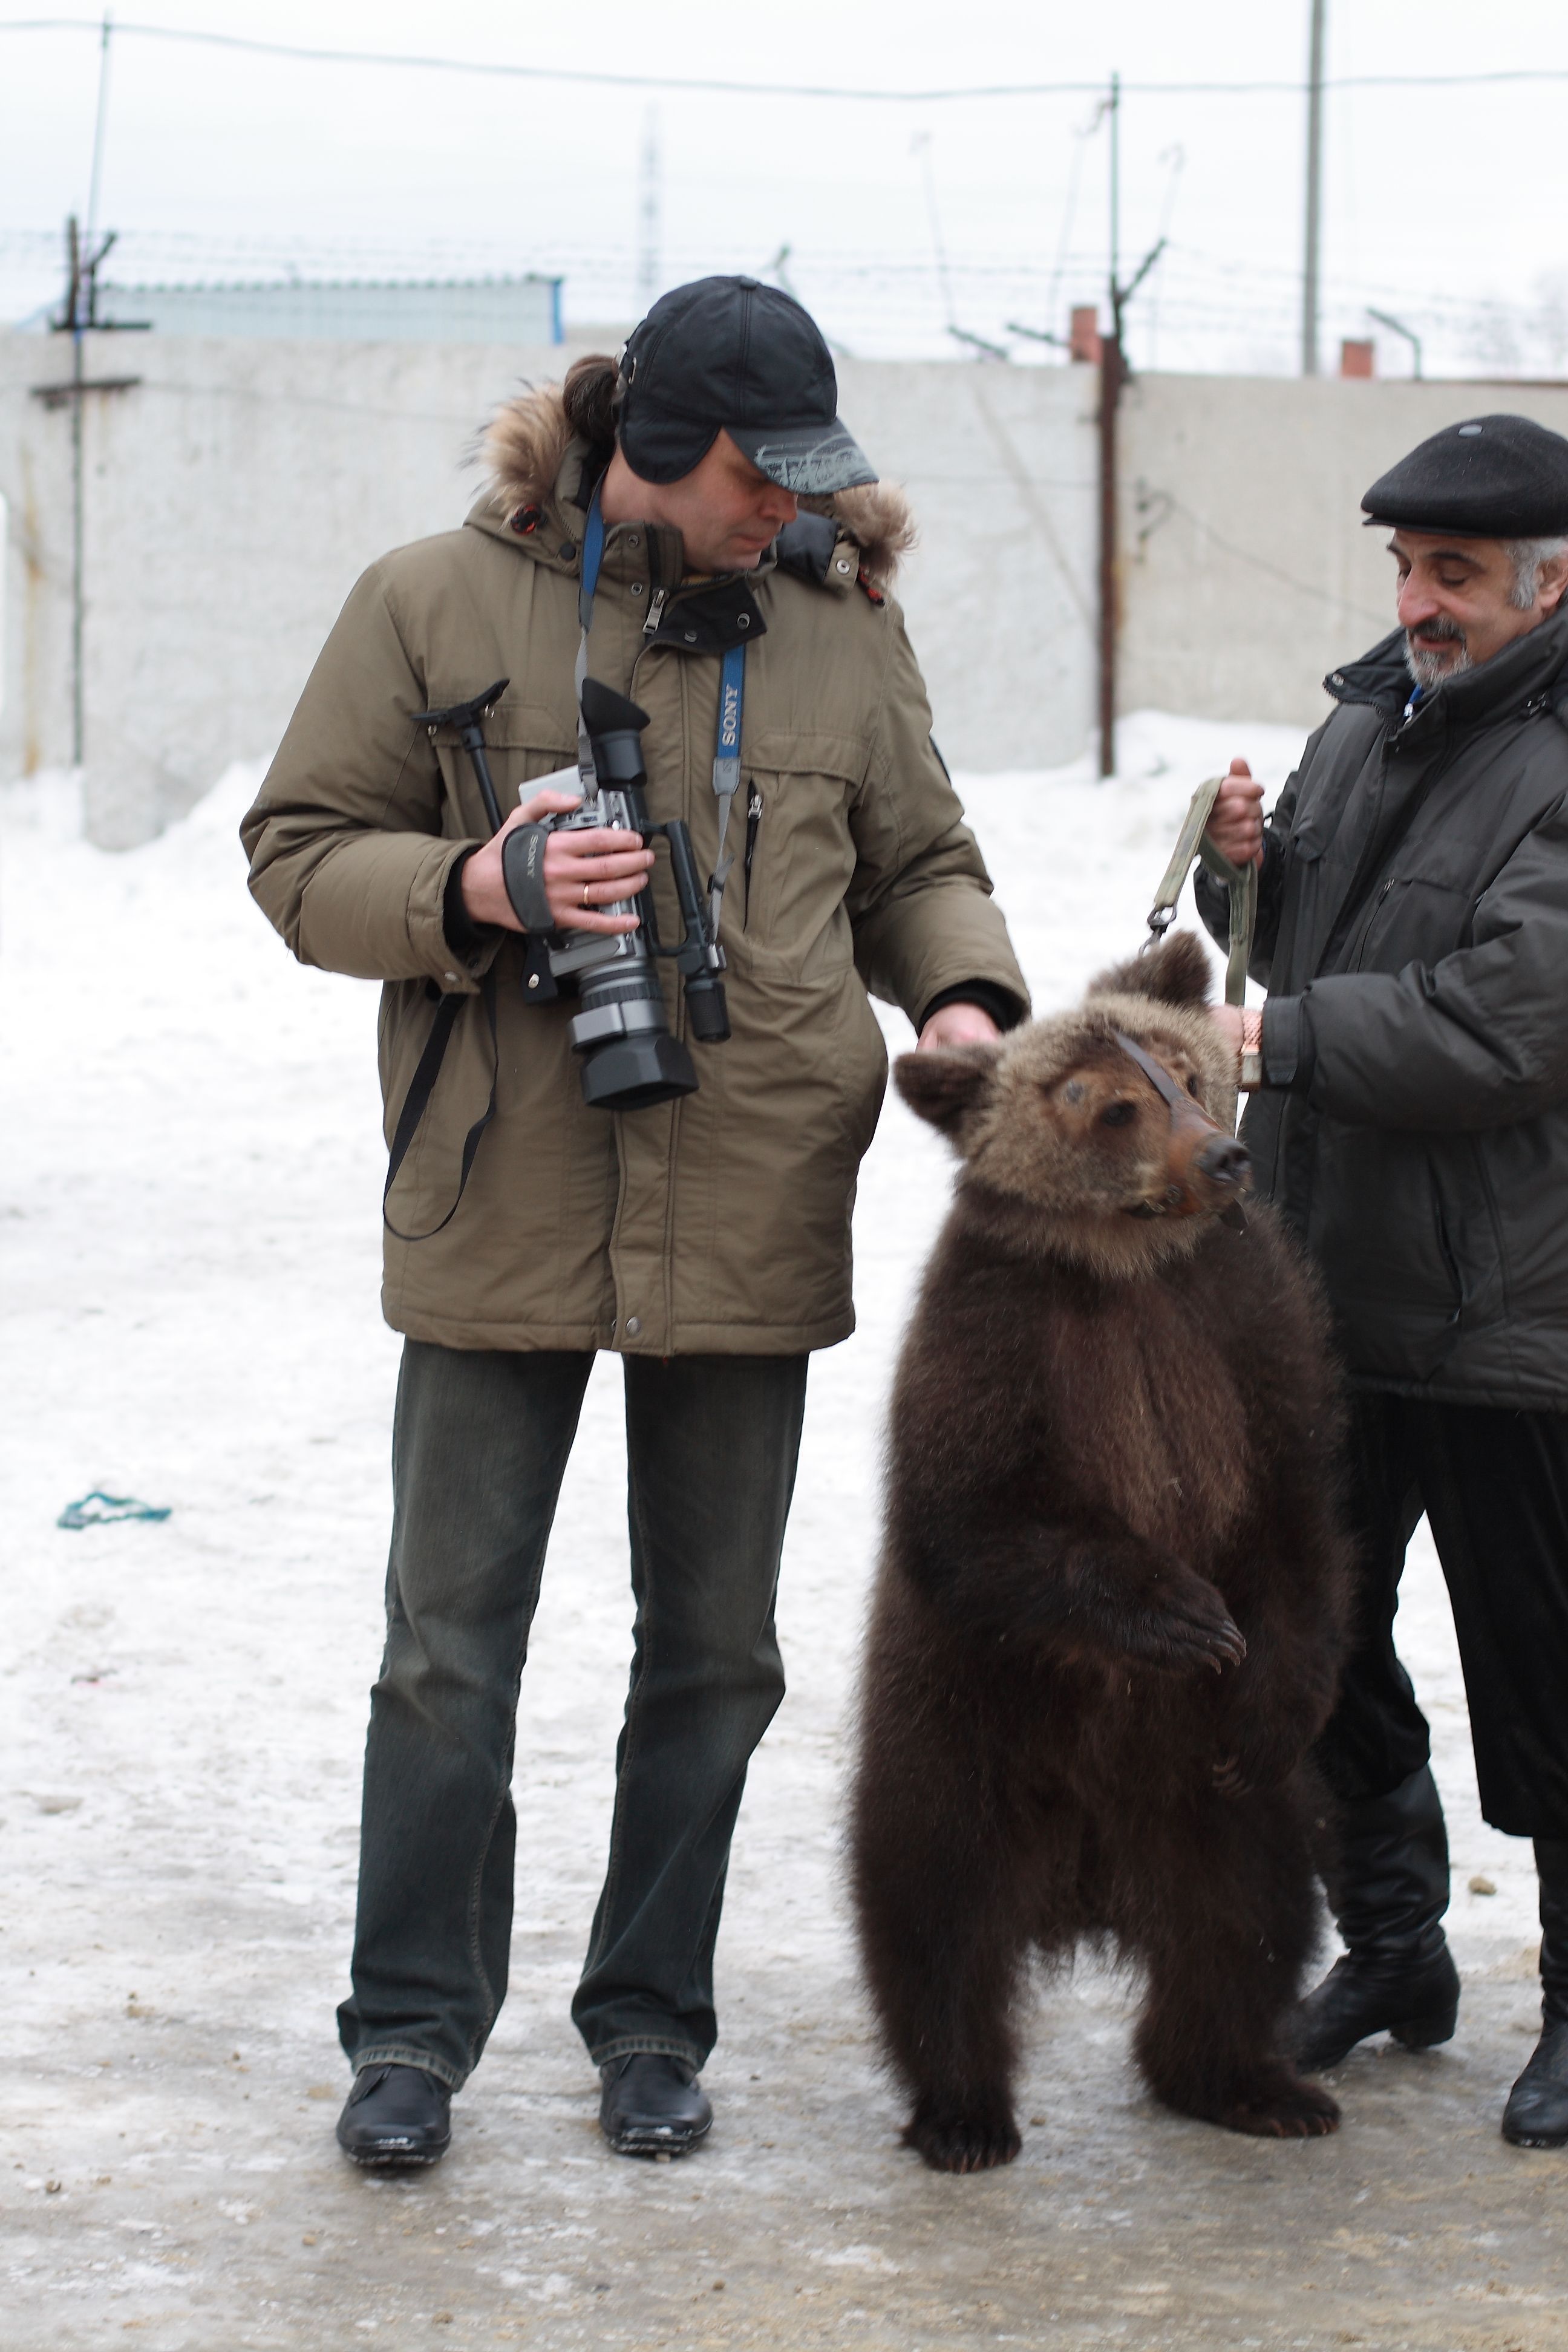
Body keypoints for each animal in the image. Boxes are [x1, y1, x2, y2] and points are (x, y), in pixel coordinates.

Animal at [851, 931, 1354, 2163]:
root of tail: (1093, 1868)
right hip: (961, 1721)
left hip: (1213, 1793)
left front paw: (1262, 1674)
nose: (1223, 1155)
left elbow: (1297, 1520)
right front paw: (1178, 1613)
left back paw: (1252, 2081)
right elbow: (971, 1518)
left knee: (1250, 1911)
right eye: (1111, 1103)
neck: (1123, 1258)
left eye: (1183, 1069)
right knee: (934, 1906)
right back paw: (963, 2110)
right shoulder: (991, 1339)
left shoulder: (1239, 1327)